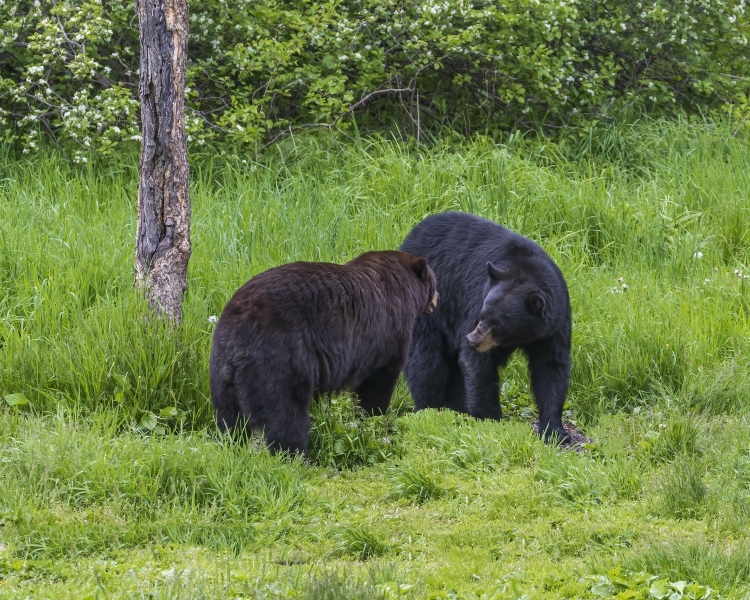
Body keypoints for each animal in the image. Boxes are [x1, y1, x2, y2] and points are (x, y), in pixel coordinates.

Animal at [209, 251, 439, 455]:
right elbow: (378, 381)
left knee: (229, 417)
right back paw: (293, 456)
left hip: (222, 368)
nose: (437, 297)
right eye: (434, 282)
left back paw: (233, 444)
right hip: (278, 360)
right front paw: (374, 418)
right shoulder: (388, 330)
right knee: (285, 414)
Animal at [400, 212, 571, 442]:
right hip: (427, 306)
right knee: (426, 362)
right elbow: (476, 364)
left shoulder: (555, 326)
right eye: (482, 316)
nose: (472, 339)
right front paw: (491, 420)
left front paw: (554, 430)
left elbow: (551, 367)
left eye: (498, 325)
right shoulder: (474, 299)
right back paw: (429, 410)